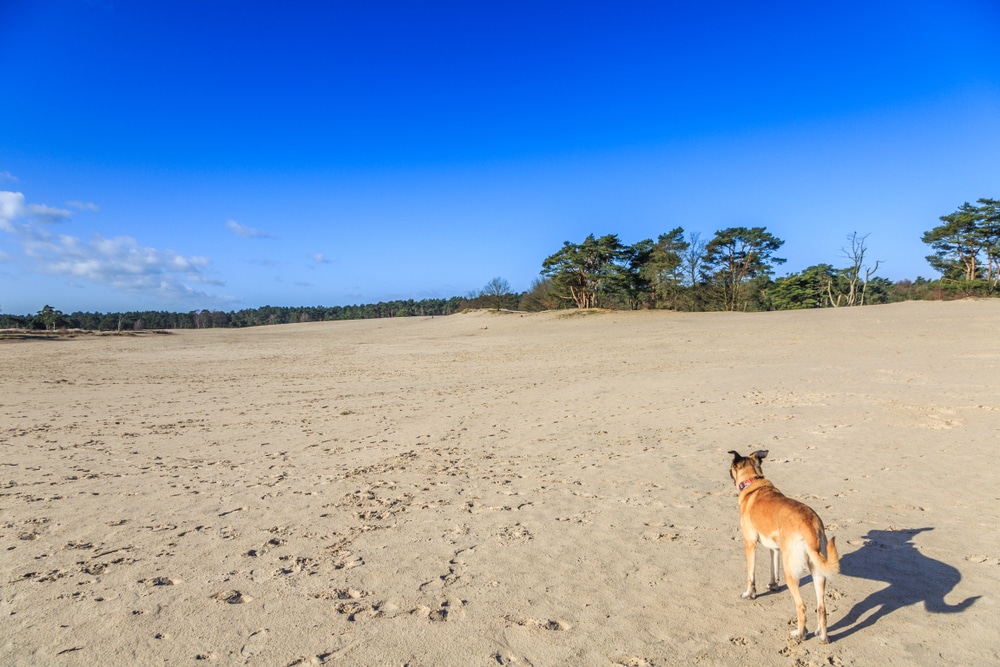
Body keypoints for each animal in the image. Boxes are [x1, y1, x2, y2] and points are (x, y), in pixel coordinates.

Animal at [732, 452, 840, 644]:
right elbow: (773, 568)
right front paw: (773, 585)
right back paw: (822, 636)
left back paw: (800, 634)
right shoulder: (774, 549)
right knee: (821, 608)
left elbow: (751, 575)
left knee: (801, 606)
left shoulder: (749, 543)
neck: (754, 481)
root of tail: (810, 525)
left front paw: (749, 594)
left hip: (791, 572)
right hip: (818, 573)